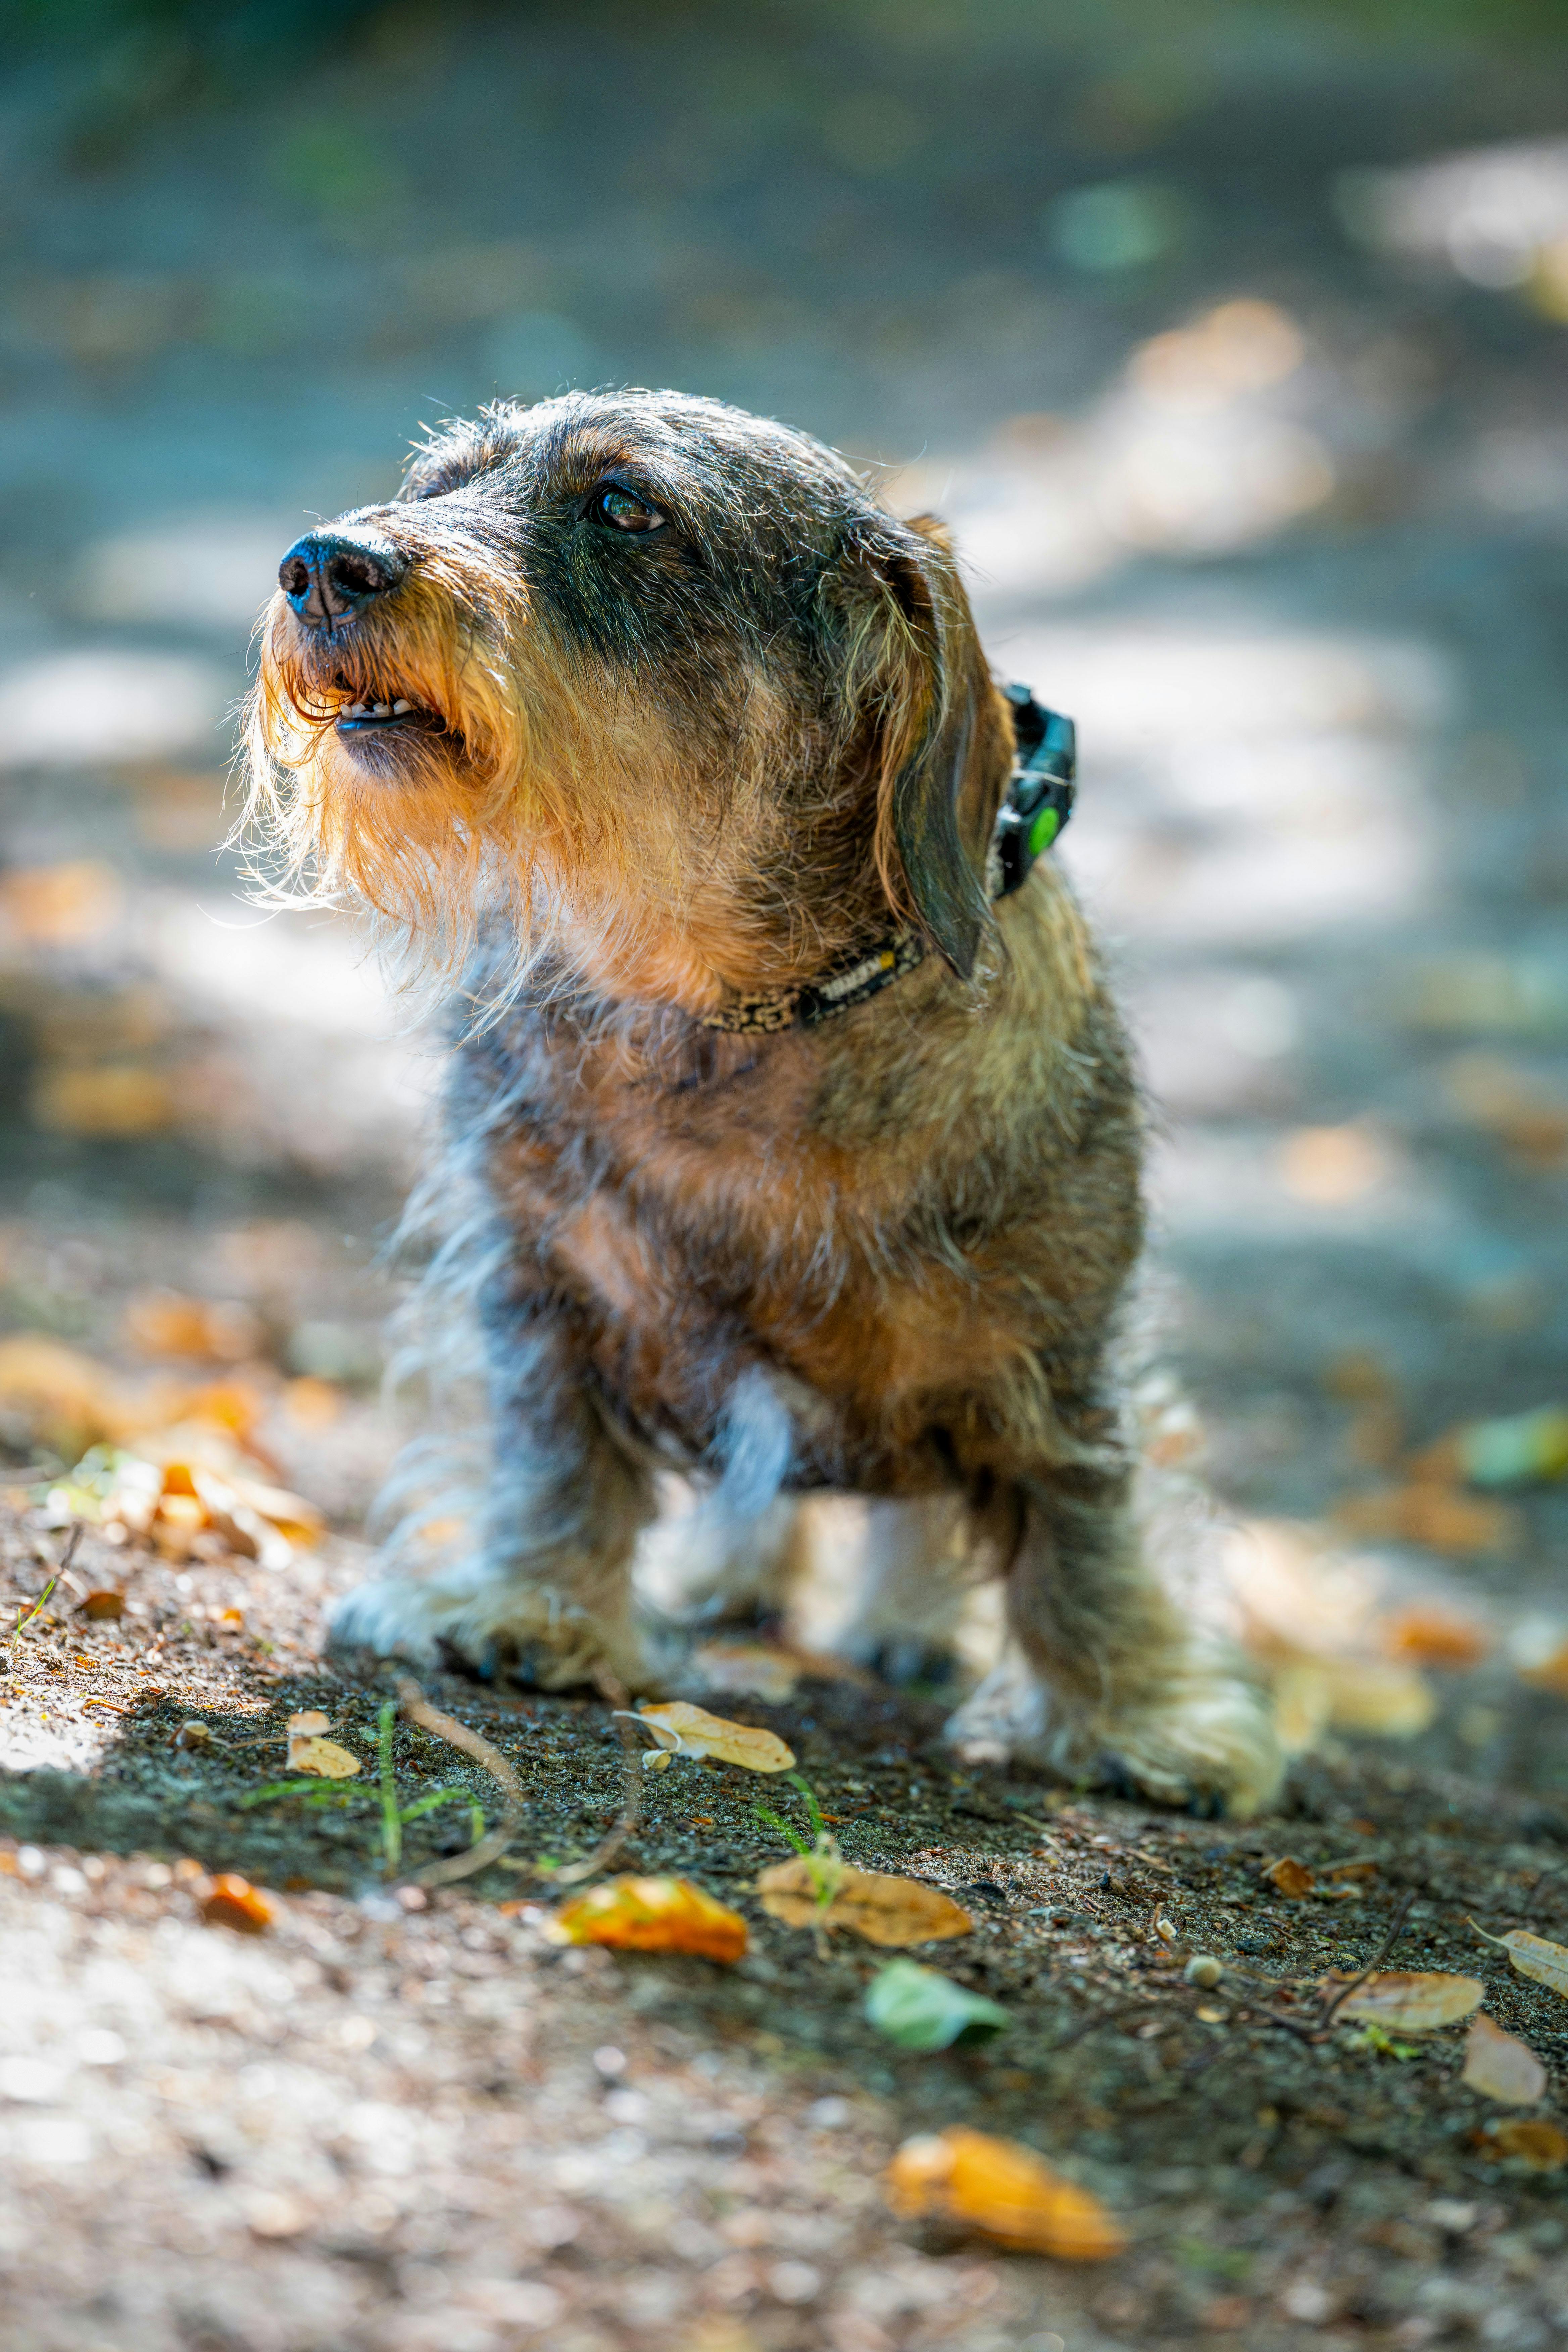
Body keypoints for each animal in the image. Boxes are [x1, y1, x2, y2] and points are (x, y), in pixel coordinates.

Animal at [242, 390, 1279, 1816]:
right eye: (436, 483)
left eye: (625, 506)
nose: (319, 564)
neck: (731, 1011)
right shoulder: (537, 1280)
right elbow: (555, 1452)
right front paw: (530, 1603)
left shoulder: (1057, 1348)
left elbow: (1082, 1524)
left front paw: (1132, 1717)